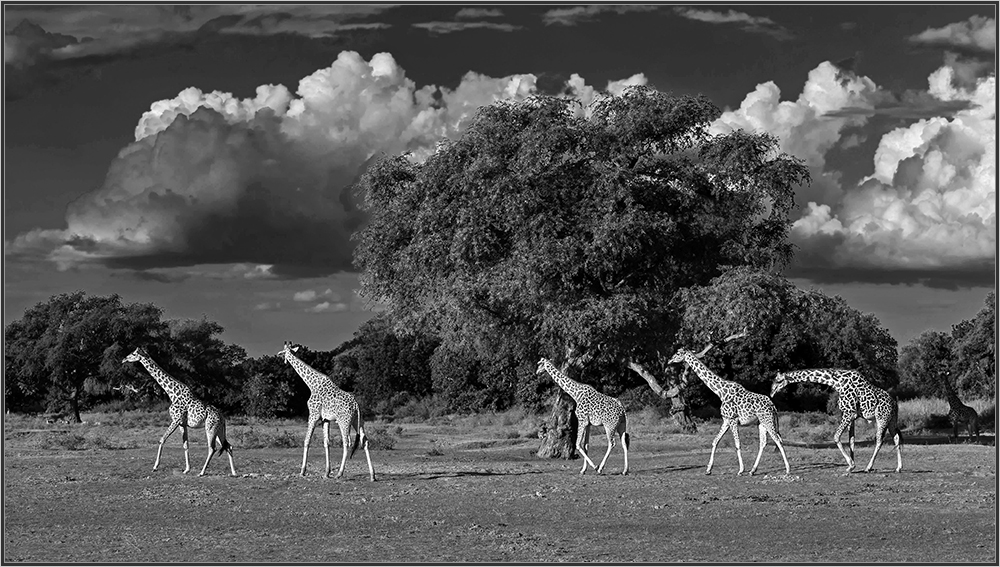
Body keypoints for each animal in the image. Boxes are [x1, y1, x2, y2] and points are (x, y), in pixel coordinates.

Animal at [121, 348, 236, 478]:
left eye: (133, 354)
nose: (124, 359)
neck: (172, 393)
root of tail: (223, 418)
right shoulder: (182, 423)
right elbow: (185, 444)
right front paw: (186, 469)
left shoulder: (176, 420)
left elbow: (162, 439)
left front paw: (155, 467)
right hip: (219, 429)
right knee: (228, 446)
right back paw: (234, 472)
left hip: (210, 428)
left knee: (213, 448)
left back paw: (202, 472)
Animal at [280, 342, 376, 484]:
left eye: (282, 352)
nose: (279, 356)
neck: (312, 384)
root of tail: (356, 405)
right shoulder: (325, 419)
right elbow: (326, 443)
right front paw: (326, 473)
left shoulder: (313, 414)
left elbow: (307, 440)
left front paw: (302, 471)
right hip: (358, 420)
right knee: (365, 440)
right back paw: (372, 475)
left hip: (344, 421)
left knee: (347, 442)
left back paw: (340, 474)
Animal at [668, 348, 792, 478]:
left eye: (678, 353)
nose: (669, 360)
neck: (720, 392)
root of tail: (773, 406)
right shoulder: (726, 420)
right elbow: (715, 441)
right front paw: (708, 469)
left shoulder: (733, 420)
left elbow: (737, 444)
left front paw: (741, 470)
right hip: (761, 423)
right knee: (763, 442)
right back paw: (753, 470)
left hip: (767, 420)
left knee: (778, 439)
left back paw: (788, 470)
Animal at [768, 368, 904, 474]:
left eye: (778, 381)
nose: (771, 393)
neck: (836, 382)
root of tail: (894, 403)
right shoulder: (852, 416)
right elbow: (851, 440)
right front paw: (852, 465)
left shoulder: (849, 413)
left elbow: (836, 437)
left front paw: (851, 465)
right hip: (892, 420)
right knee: (896, 438)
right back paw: (898, 468)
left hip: (882, 418)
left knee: (880, 440)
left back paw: (868, 467)